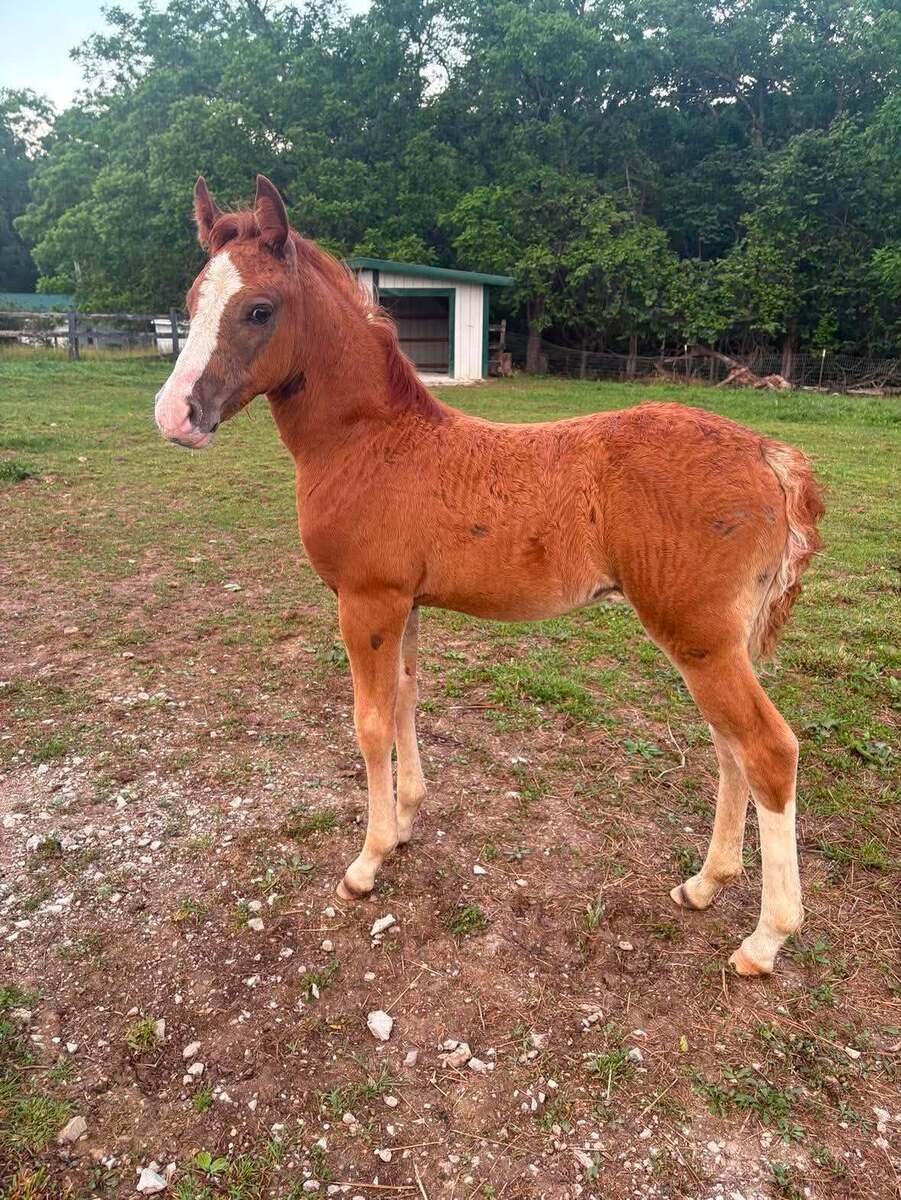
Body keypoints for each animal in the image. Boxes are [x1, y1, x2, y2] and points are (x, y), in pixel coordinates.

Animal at [154, 175, 824, 976]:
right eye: (192, 301)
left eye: (258, 309)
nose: (174, 415)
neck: (369, 441)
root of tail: (767, 455)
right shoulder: (403, 603)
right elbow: (406, 702)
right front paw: (405, 821)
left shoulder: (365, 602)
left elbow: (370, 722)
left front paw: (367, 862)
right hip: (714, 642)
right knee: (730, 749)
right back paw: (703, 884)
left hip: (697, 636)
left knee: (767, 751)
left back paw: (764, 938)